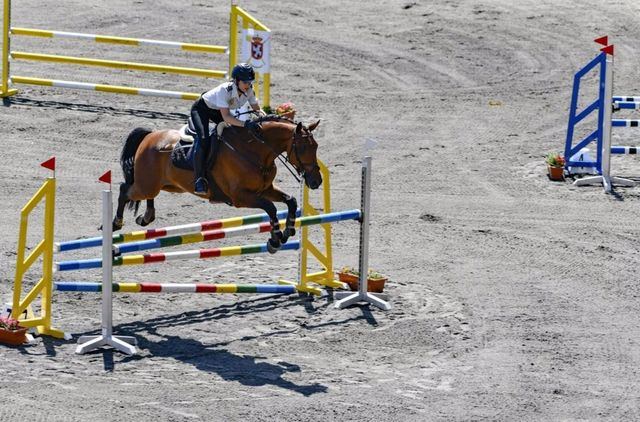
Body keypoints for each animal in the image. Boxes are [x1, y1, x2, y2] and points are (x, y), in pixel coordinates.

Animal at [113, 115, 322, 252]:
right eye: (303, 147)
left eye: (316, 146)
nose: (316, 181)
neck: (254, 152)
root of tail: (149, 136)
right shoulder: (241, 197)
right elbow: (271, 208)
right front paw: (275, 239)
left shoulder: (266, 189)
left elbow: (291, 200)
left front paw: (288, 231)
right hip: (146, 184)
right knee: (125, 189)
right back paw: (117, 223)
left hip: (165, 185)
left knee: (148, 195)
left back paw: (146, 216)